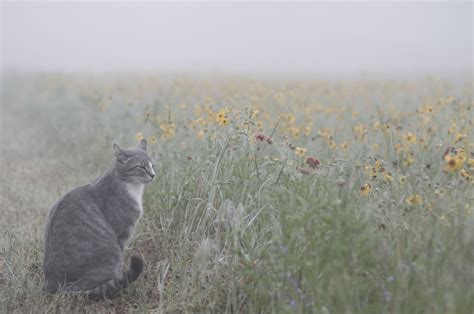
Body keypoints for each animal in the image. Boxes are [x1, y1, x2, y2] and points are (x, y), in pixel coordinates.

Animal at [42, 139, 154, 300]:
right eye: (141, 167)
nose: (153, 175)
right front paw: (121, 277)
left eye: (152, 165)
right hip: (111, 253)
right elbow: (121, 260)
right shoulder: (121, 236)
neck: (131, 187)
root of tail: (52, 282)